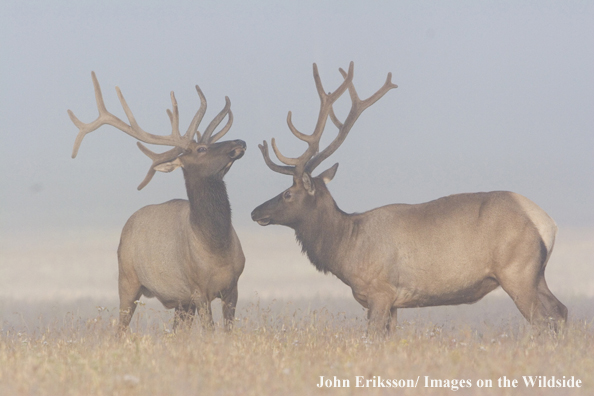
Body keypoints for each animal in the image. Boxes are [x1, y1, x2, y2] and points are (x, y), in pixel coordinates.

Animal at [69, 73, 245, 332]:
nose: (240, 142)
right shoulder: (198, 290)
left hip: (181, 301)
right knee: (120, 328)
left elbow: (228, 332)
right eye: (202, 148)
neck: (216, 247)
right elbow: (211, 332)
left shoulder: (232, 287)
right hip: (128, 280)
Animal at [250, 63, 564, 336]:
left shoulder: (380, 291)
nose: (255, 212)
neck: (345, 247)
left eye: (287, 194)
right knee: (560, 311)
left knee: (543, 320)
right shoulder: (393, 303)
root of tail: (547, 223)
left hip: (517, 272)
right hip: (537, 274)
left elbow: (372, 337)